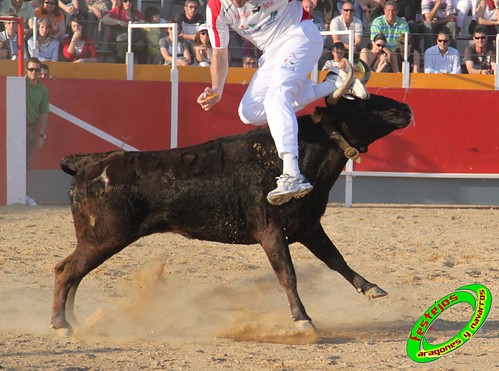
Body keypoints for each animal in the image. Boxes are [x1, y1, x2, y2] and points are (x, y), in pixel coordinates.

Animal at [51, 94, 414, 336]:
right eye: (363, 103)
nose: (407, 108)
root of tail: (90, 163)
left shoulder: (307, 227)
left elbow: (336, 259)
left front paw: (371, 288)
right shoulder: (271, 231)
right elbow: (288, 274)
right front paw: (303, 319)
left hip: (98, 240)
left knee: (73, 273)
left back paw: (75, 321)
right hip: (105, 237)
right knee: (66, 271)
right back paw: (61, 324)